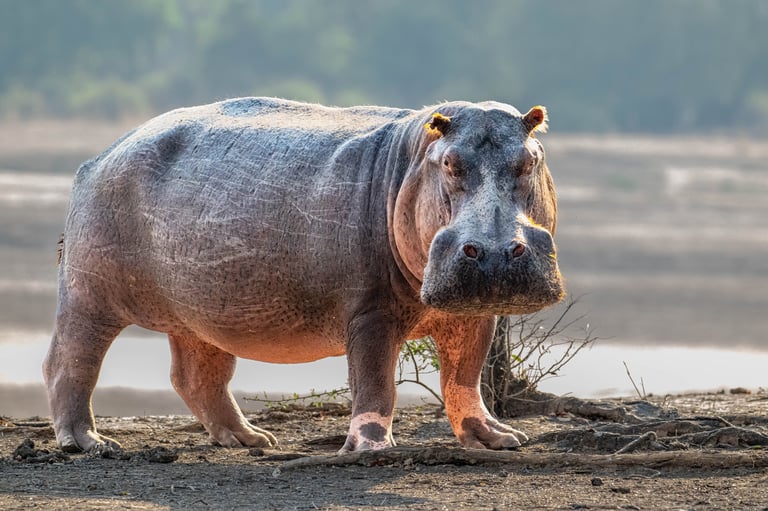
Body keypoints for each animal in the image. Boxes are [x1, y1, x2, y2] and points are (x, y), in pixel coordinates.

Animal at [44, 97, 564, 453]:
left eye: (530, 161)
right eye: (450, 164)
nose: (494, 253)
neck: (415, 158)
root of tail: (101, 155)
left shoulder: (473, 312)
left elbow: (465, 376)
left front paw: (499, 438)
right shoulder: (370, 311)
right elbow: (375, 380)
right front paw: (372, 448)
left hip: (203, 312)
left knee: (196, 375)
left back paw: (252, 439)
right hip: (89, 293)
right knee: (71, 362)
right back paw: (89, 443)